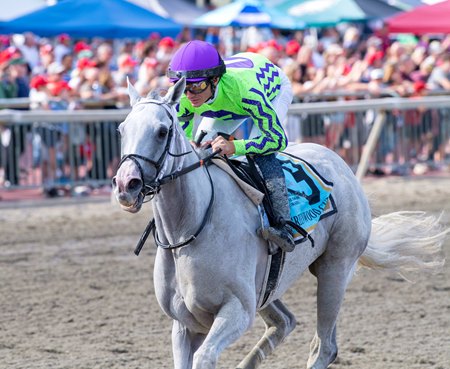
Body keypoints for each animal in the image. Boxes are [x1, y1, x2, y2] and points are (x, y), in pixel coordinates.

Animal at [112, 78, 446, 368]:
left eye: (161, 131)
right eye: (121, 129)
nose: (126, 184)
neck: (189, 229)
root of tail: (340, 164)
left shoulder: (237, 311)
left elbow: (205, 358)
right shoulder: (184, 325)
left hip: (335, 269)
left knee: (325, 346)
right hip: (269, 286)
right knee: (285, 322)